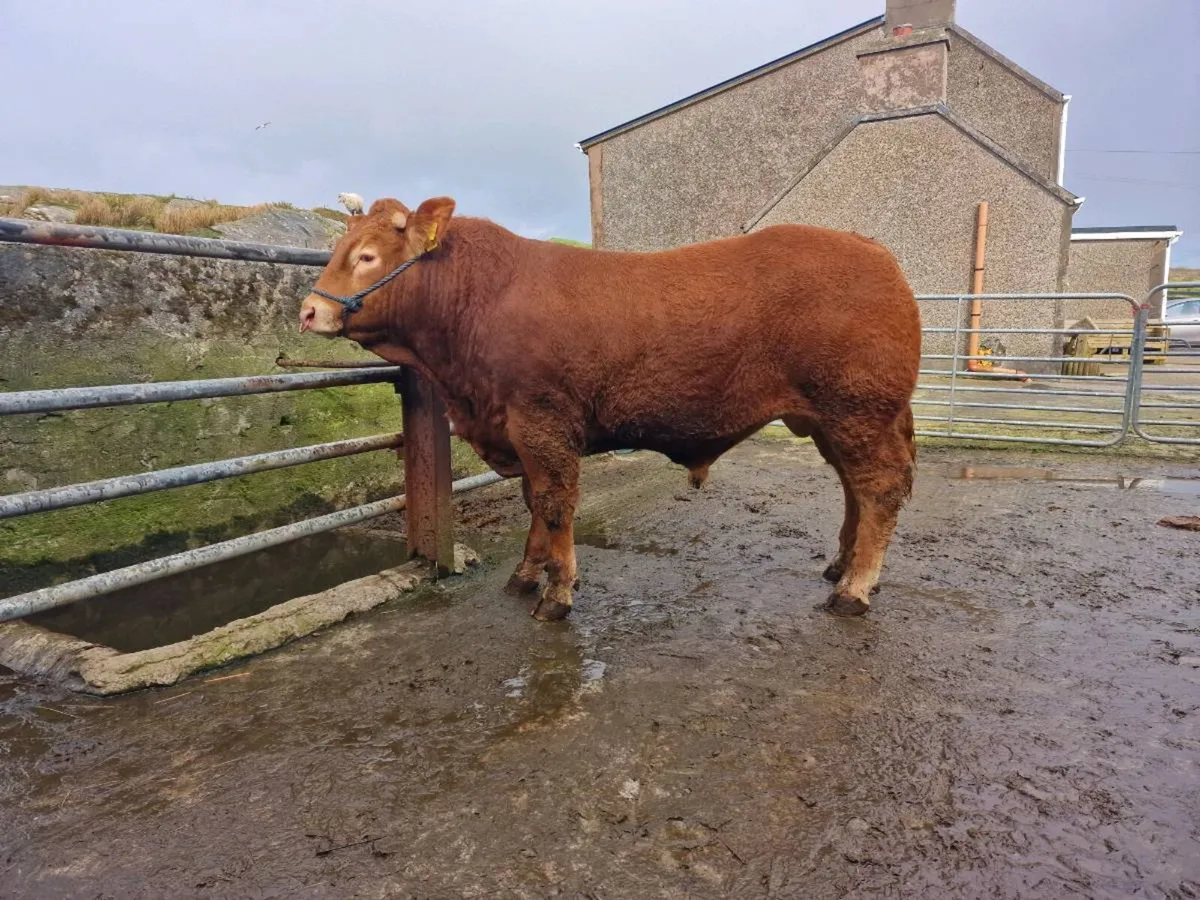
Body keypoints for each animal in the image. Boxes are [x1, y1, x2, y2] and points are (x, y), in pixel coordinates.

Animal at [299, 196, 921, 621]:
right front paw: (526, 574)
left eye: (367, 256)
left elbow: (554, 504)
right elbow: (534, 504)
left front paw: (557, 593)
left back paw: (854, 588)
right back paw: (842, 565)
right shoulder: (518, 428)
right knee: (853, 486)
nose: (307, 310)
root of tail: (870, 247)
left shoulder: (542, 419)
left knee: (880, 487)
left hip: (858, 409)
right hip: (833, 419)